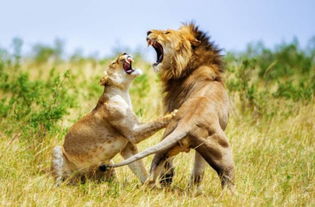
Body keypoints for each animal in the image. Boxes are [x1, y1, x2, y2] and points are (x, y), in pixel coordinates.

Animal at [53, 52, 179, 185]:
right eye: (113, 63)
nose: (124, 53)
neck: (123, 92)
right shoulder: (133, 132)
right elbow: (155, 122)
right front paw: (173, 114)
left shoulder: (128, 146)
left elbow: (138, 166)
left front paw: (148, 185)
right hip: (57, 150)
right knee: (60, 177)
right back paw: (60, 185)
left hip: (107, 164)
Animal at [107, 23, 236, 192]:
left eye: (167, 32)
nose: (148, 31)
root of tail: (189, 121)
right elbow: (197, 168)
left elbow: (198, 170)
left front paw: (195, 190)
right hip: (223, 153)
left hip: (171, 141)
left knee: (154, 176)